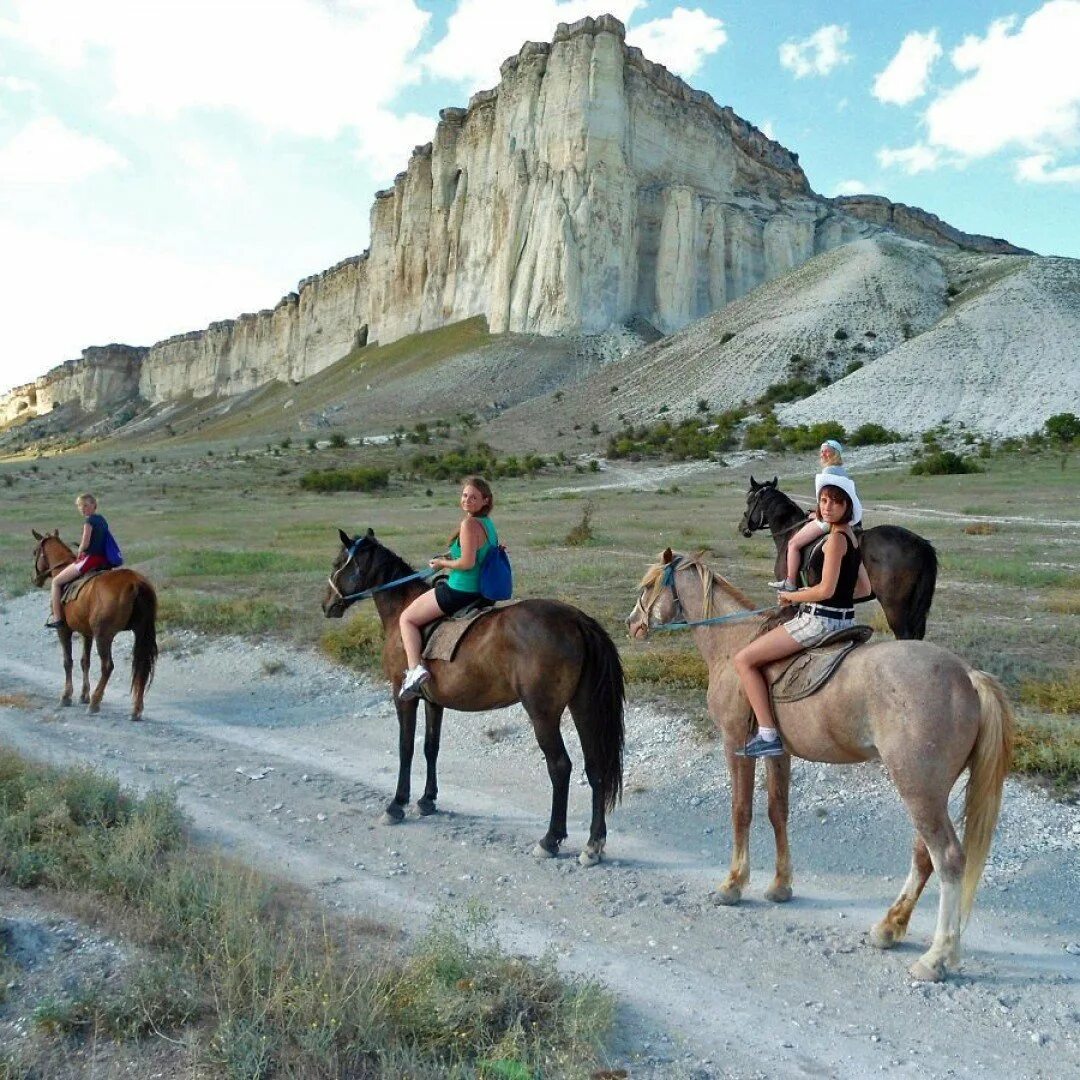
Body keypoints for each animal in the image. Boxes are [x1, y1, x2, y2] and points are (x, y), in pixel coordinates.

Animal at [30, 529, 157, 721]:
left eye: (35, 552)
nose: (35, 579)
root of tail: (136, 583)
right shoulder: (87, 633)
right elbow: (85, 661)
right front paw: (84, 695)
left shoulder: (64, 630)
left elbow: (68, 661)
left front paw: (67, 696)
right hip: (140, 632)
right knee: (141, 665)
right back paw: (135, 710)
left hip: (104, 635)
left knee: (107, 666)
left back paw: (95, 703)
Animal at [319, 527, 626, 864]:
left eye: (337, 563)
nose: (326, 604)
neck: (402, 609)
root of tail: (576, 620)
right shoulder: (434, 702)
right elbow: (430, 747)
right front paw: (427, 800)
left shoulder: (404, 698)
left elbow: (405, 748)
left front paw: (397, 804)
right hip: (583, 706)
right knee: (595, 768)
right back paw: (593, 844)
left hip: (542, 714)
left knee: (560, 767)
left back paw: (550, 839)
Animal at [630, 552, 1015, 984]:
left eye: (646, 586)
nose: (632, 624)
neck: (733, 646)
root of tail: (966, 676)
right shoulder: (778, 753)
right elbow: (777, 812)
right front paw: (780, 886)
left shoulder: (736, 746)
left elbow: (741, 812)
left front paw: (733, 884)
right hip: (929, 791)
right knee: (924, 855)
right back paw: (889, 927)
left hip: (917, 789)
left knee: (947, 858)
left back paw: (935, 959)